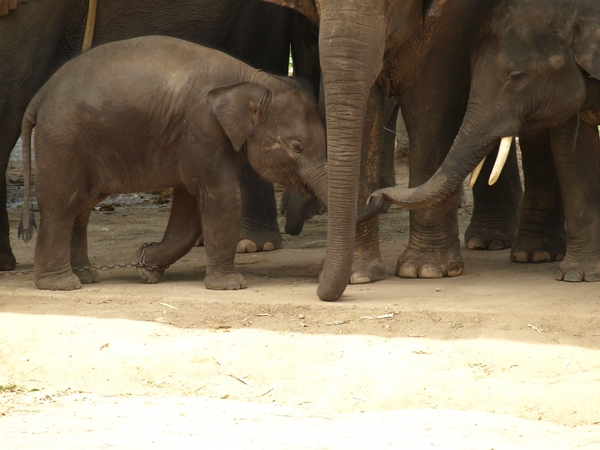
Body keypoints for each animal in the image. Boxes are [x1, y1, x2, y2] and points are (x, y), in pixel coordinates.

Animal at [264, 1, 528, 302]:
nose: (376, 198)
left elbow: (430, 106)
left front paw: (428, 270)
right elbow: (366, 111)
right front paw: (358, 276)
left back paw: (490, 242)